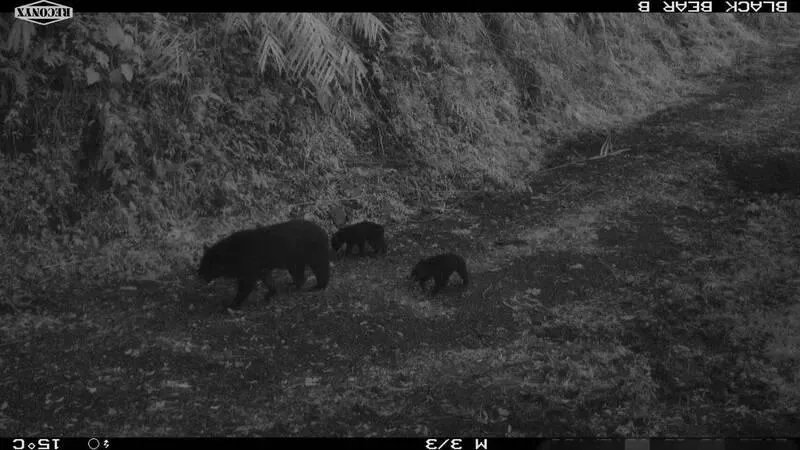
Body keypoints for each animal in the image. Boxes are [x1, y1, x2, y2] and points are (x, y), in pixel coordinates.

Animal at [198, 219, 330, 311]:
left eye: (208, 265)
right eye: (202, 263)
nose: (199, 274)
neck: (232, 254)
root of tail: (323, 231)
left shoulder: (249, 271)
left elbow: (244, 289)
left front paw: (231, 306)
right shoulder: (262, 270)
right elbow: (269, 282)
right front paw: (270, 294)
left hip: (314, 257)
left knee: (321, 272)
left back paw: (317, 286)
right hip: (295, 262)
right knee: (301, 277)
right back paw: (293, 286)